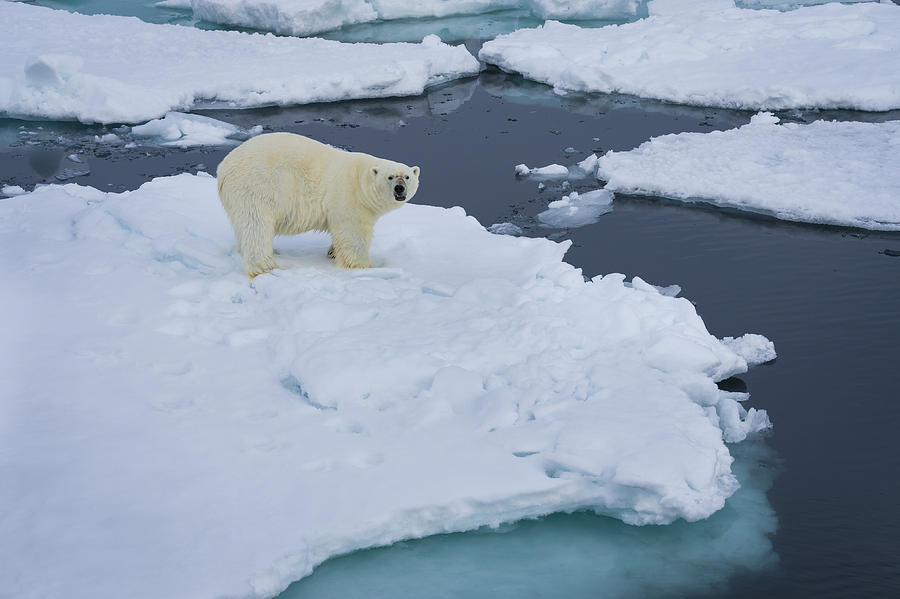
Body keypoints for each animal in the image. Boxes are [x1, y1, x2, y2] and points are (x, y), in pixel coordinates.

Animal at [216, 132, 420, 278]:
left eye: (407, 176)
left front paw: (332, 253)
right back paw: (267, 267)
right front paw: (363, 267)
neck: (360, 180)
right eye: (390, 177)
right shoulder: (349, 199)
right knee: (257, 225)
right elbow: (353, 235)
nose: (400, 188)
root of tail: (223, 168)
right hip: (258, 186)